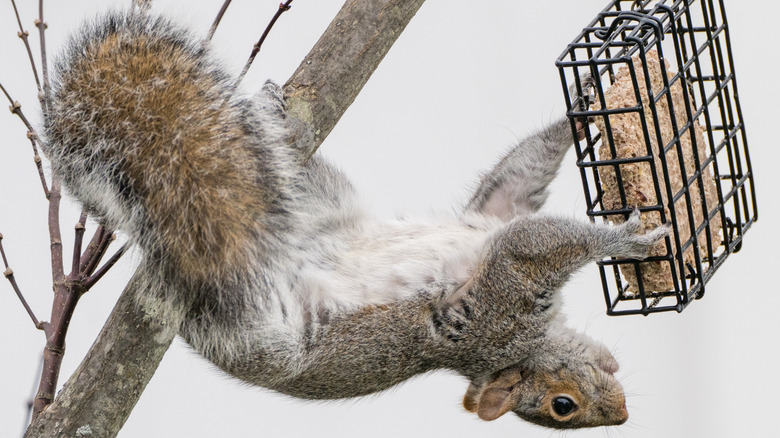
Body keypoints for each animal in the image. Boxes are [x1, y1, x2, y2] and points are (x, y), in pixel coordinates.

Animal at [41, 10, 668, 429]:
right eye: (564, 407)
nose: (622, 412)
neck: (527, 345)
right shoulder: (503, 301)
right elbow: (535, 244)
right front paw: (628, 241)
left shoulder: (493, 211)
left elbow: (519, 174)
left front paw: (583, 100)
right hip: (251, 322)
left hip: (310, 197)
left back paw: (270, 114)